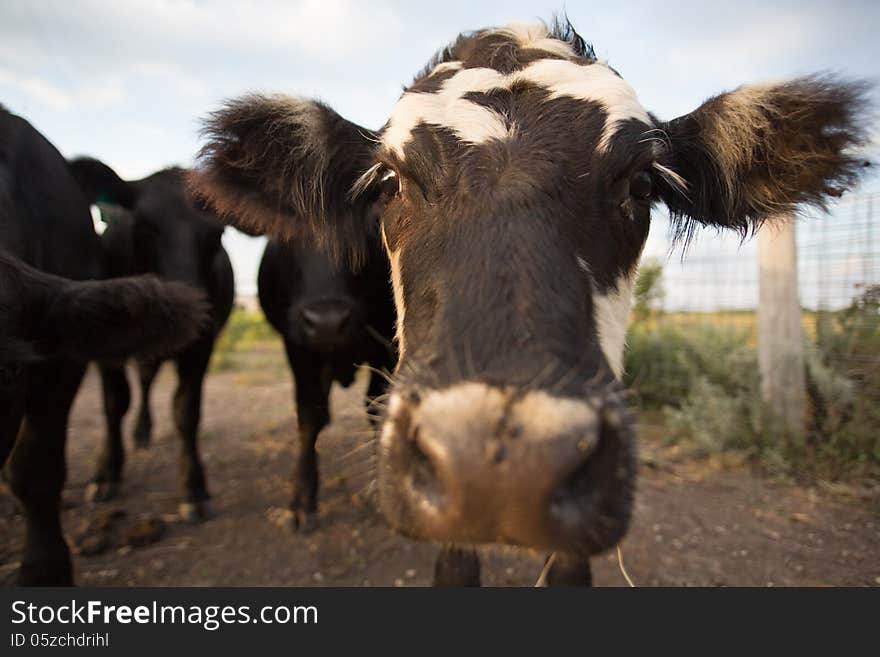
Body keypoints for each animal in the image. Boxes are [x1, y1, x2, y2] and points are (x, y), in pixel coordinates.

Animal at [65, 156, 235, 520]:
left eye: (216, 234)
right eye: (142, 227)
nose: (188, 311)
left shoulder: (201, 346)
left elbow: (186, 411)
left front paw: (193, 489)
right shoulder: (104, 344)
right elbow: (115, 403)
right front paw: (106, 473)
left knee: (146, 379)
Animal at [258, 238, 396, 532]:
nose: (327, 323)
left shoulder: (385, 347)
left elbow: (377, 407)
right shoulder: (297, 347)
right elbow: (309, 417)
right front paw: (302, 501)